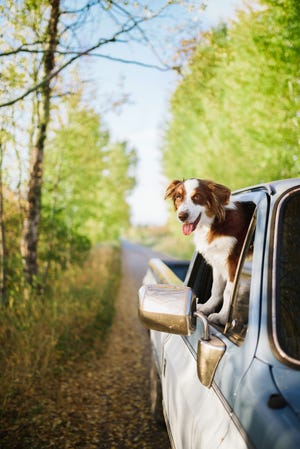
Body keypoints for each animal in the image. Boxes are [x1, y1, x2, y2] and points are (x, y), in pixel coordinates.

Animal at [165, 177, 254, 324]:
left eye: (197, 197)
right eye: (178, 197)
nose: (182, 216)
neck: (214, 223)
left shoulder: (233, 263)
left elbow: (229, 291)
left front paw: (222, 317)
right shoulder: (217, 260)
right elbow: (216, 289)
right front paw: (208, 307)